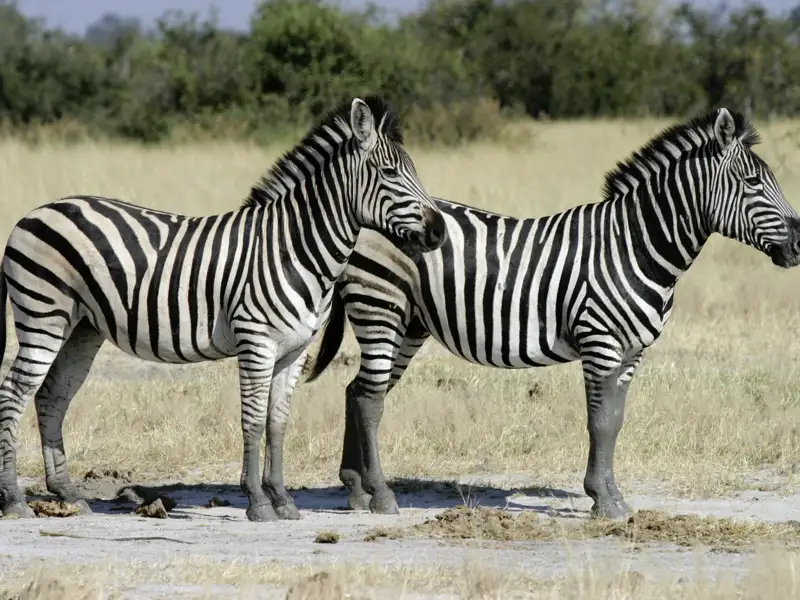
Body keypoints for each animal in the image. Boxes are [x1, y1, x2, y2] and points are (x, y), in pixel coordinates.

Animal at [0, 96, 447, 522]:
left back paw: (68, 494)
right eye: (390, 173)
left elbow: (277, 423)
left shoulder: (294, 350)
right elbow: (252, 420)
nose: (439, 231)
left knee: (51, 395)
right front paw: (257, 503)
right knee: (13, 393)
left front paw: (283, 500)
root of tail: (35, 212)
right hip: (43, 314)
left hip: (81, 328)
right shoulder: (256, 341)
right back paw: (14, 501)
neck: (294, 247)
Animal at [304, 108, 800, 520]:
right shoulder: (600, 341)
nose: (798, 244)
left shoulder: (631, 352)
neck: (636, 246)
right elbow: (600, 422)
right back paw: (380, 496)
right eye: (753, 183)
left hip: (408, 324)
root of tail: (361, 221)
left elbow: (616, 421)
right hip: (380, 307)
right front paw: (602, 500)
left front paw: (614, 498)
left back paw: (356, 490)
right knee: (369, 399)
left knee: (357, 392)